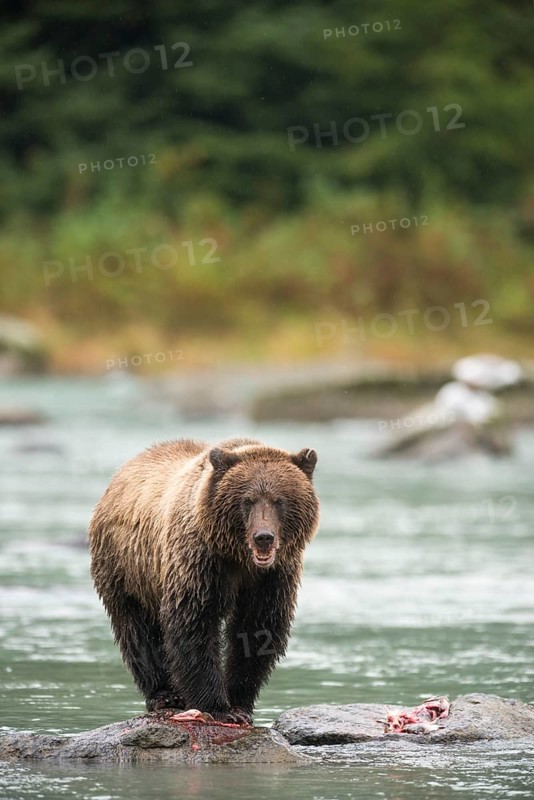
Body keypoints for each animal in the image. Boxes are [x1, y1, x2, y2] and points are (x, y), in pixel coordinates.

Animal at [88, 437, 319, 724]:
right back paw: (164, 694)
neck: (238, 557)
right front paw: (218, 706)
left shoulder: (272, 577)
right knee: (136, 628)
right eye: (248, 500)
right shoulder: (201, 563)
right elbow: (194, 623)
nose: (263, 537)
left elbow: (257, 629)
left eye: (279, 500)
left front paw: (239, 703)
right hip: (126, 567)